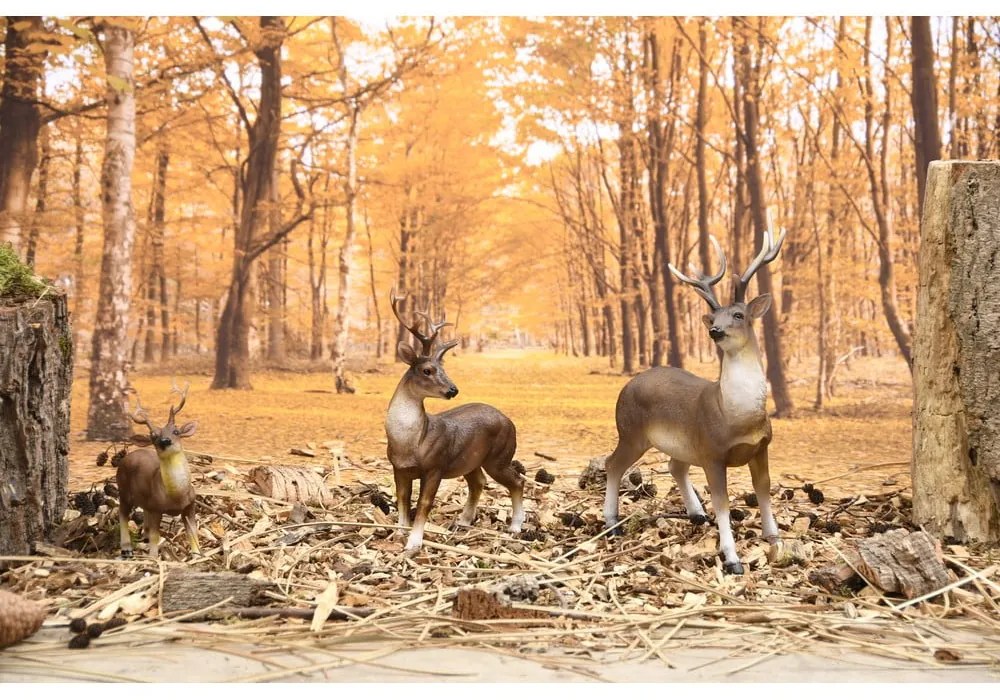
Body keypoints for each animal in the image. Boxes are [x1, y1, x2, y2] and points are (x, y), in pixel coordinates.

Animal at [115, 383, 200, 560]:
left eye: (176, 431)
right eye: (153, 436)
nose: (164, 441)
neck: (176, 496)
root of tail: (127, 456)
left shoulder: (190, 504)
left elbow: (192, 531)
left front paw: (197, 554)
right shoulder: (156, 507)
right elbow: (156, 535)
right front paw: (153, 557)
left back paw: (144, 537)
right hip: (124, 489)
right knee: (122, 513)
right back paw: (126, 548)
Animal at [386, 290, 524, 555]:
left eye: (444, 369)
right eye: (427, 370)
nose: (453, 390)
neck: (409, 443)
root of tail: (510, 421)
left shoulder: (436, 465)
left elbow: (424, 503)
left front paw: (414, 542)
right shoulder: (398, 468)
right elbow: (402, 500)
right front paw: (398, 533)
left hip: (499, 456)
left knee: (517, 481)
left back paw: (515, 527)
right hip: (472, 460)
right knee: (478, 482)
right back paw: (463, 521)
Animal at [603, 230, 786, 575]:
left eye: (738, 315)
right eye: (713, 316)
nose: (715, 330)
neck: (737, 417)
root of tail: (627, 385)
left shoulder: (762, 447)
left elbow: (764, 490)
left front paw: (775, 539)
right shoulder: (713, 451)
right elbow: (723, 503)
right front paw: (732, 558)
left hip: (681, 442)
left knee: (675, 465)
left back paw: (696, 513)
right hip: (631, 431)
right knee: (612, 463)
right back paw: (612, 523)